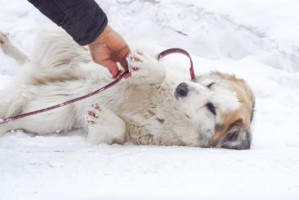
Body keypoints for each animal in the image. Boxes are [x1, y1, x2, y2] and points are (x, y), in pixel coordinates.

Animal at [0, 29, 255, 148]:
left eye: (212, 108)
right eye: (210, 84)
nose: (182, 88)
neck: (166, 107)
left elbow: (115, 131)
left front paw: (104, 119)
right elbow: (158, 70)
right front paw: (149, 69)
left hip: (50, 114)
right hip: (65, 45)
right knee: (37, 58)